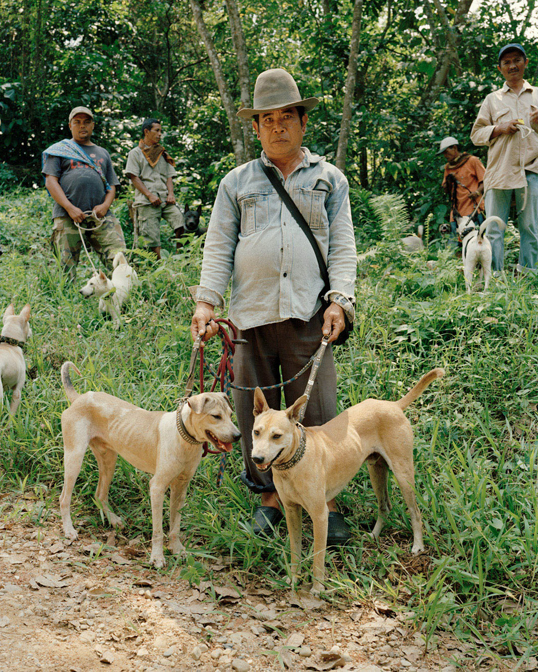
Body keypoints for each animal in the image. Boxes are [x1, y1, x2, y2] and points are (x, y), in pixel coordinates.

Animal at [58, 362, 239, 568]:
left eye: (231, 414)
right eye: (215, 416)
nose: (238, 436)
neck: (184, 437)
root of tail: (80, 397)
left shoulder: (181, 487)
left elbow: (175, 525)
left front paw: (177, 550)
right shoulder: (157, 487)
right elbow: (158, 530)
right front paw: (157, 557)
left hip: (109, 459)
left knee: (99, 494)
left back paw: (113, 519)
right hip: (74, 457)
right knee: (64, 498)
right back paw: (69, 530)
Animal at [251, 368, 444, 592]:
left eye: (277, 436)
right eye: (256, 432)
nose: (257, 458)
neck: (293, 464)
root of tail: (392, 405)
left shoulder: (320, 515)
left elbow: (318, 556)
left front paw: (317, 588)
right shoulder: (291, 511)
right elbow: (295, 550)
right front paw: (293, 579)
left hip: (403, 474)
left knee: (415, 512)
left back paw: (418, 545)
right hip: (376, 470)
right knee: (385, 506)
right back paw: (374, 535)